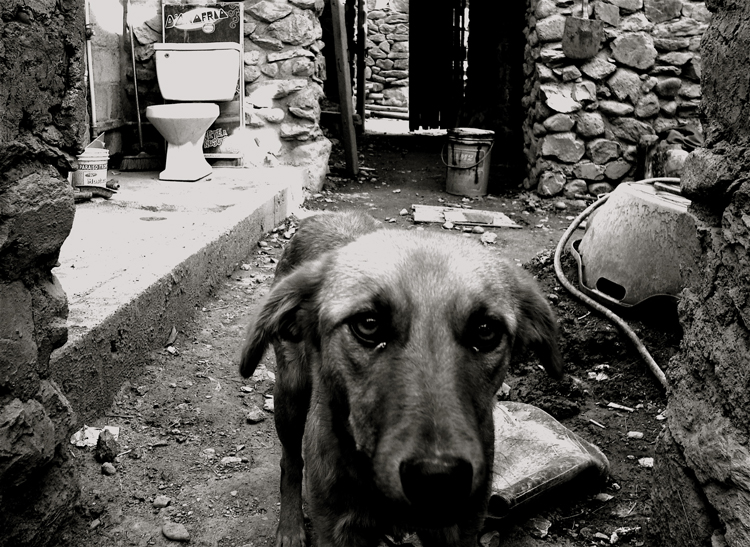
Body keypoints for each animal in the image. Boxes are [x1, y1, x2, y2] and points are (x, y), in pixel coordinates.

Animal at [241, 212, 564, 547]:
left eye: (485, 330)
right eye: (368, 324)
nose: (438, 480)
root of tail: (325, 215)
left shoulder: (460, 530)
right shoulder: (336, 529)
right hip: (291, 392)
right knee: (290, 460)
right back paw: (290, 526)